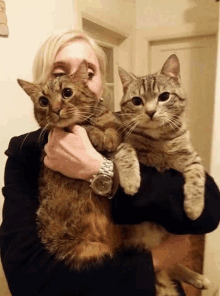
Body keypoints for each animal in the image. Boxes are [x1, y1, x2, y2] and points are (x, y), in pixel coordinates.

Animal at [115, 54, 210, 294]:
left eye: (164, 97)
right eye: (137, 101)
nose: (150, 112)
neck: (159, 140)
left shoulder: (192, 158)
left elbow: (197, 177)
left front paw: (194, 206)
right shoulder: (124, 145)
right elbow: (126, 151)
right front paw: (131, 181)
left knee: (176, 266)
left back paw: (198, 278)